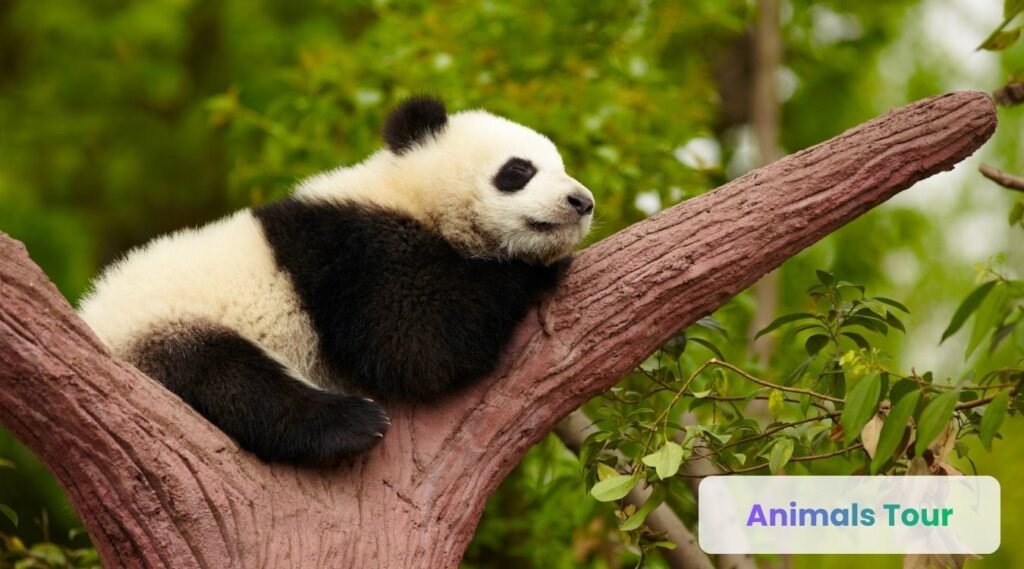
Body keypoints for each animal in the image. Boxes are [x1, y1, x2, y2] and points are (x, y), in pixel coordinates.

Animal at [79, 96, 594, 465]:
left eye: (562, 165)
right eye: (519, 170)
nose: (582, 201)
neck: (408, 194)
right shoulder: (355, 252)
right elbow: (416, 343)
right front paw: (534, 268)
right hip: (163, 326)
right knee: (228, 378)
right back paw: (352, 424)